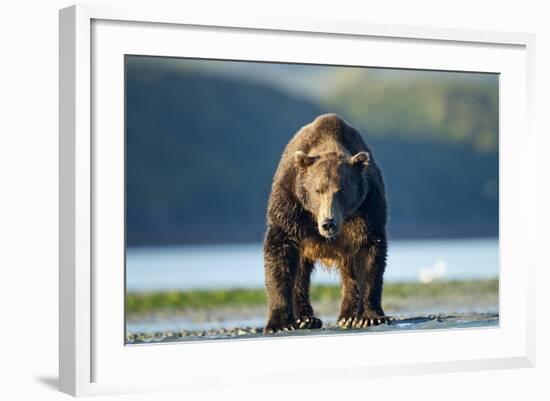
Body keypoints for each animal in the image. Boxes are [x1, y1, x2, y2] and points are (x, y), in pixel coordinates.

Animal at [264, 114, 388, 332]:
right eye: (318, 190)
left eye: (341, 191)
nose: (328, 223)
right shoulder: (291, 204)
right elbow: (280, 253)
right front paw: (280, 323)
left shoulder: (367, 207)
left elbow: (370, 255)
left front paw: (369, 317)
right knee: (301, 273)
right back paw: (306, 318)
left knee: (349, 273)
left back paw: (348, 316)